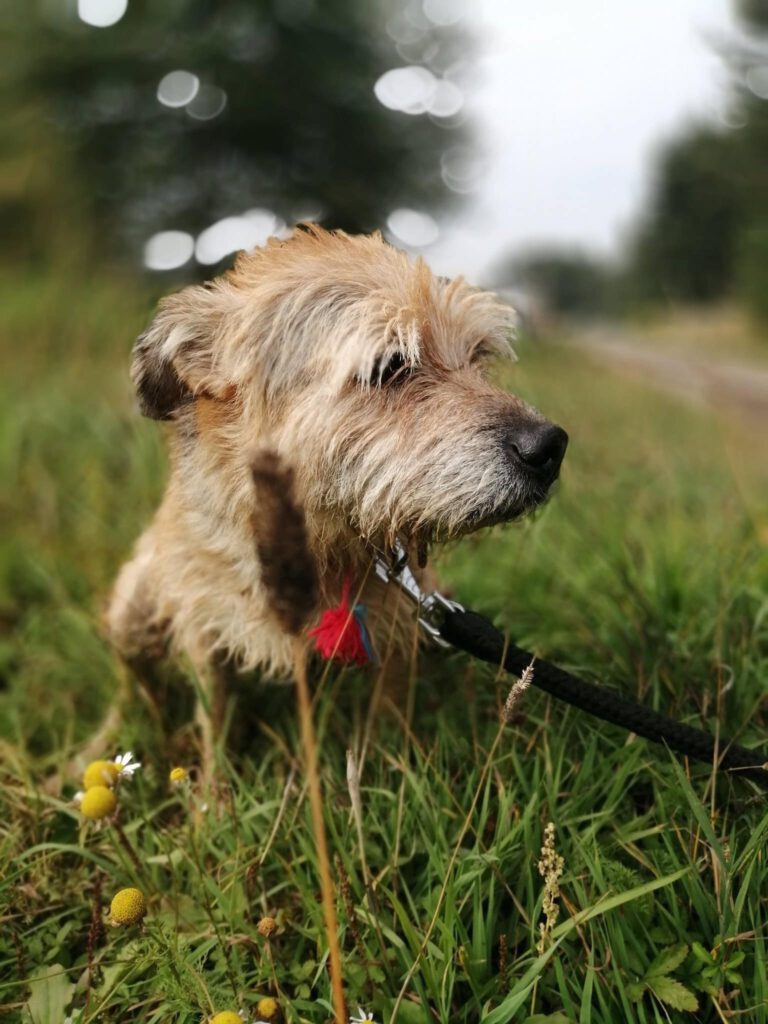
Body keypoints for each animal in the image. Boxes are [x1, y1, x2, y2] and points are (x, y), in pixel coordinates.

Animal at [105, 226, 565, 761]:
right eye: (390, 365)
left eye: (477, 357)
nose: (550, 447)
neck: (313, 547)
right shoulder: (203, 626)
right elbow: (213, 721)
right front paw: (211, 785)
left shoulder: (399, 628)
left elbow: (386, 718)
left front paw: (391, 767)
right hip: (130, 612)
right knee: (135, 687)